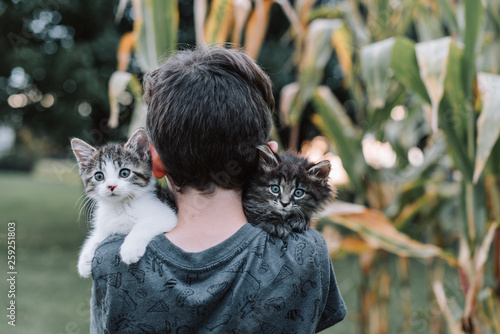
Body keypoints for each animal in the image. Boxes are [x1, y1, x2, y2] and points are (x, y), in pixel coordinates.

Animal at [71, 129, 177, 278]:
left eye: (124, 173)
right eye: (99, 176)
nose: (111, 186)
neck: (120, 206)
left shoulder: (167, 213)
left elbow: (144, 223)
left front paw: (130, 249)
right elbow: (99, 234)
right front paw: (85, 258)